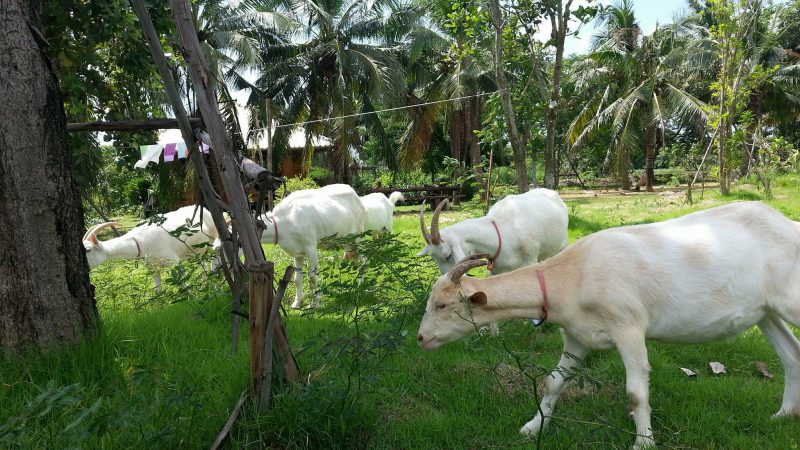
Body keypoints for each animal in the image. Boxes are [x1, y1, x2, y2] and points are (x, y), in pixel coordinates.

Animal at [83, 205, 219, 292]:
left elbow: (182, 283)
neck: (139, 241)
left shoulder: (173, 261)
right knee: (201, 261)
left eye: (88, 249)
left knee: (215, 252)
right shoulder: (152, 268)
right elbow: (158, 290)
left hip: (213, 236)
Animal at [416, 202, 800, 448]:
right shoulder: (577, 336)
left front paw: (643, 442)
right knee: (792, 356)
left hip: (791, 300)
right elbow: (553, 382)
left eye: (443, 304)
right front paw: (532, 427)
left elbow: (635, 392)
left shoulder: (628, 328)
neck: (577, 274)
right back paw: (782, 415)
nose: (421, 338)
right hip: (765, 312)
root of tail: (788, 224)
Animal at [418, 188, 568, 276]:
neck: (501, 234)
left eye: (448, 255)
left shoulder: (530, 262)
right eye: (434, 258)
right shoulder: (497, 271)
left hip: (562, 244)